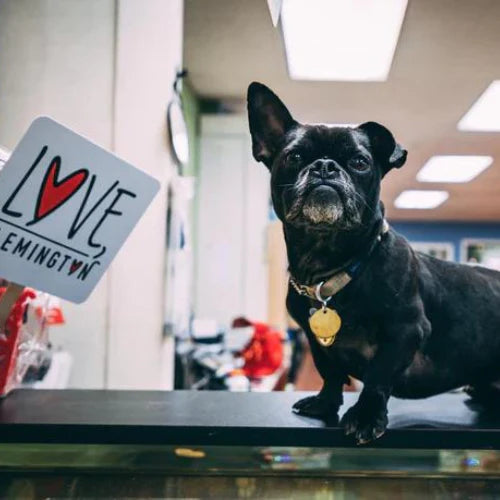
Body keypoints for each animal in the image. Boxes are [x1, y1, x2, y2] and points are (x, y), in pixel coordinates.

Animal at [247, 82, 500, 446]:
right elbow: (330, 372)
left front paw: (366, 415)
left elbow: (379, 376)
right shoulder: (314, 339)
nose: (325, 166)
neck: (332, 264)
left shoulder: (406, 331)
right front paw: (325, 403)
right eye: (294, 157)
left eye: (359, 161)